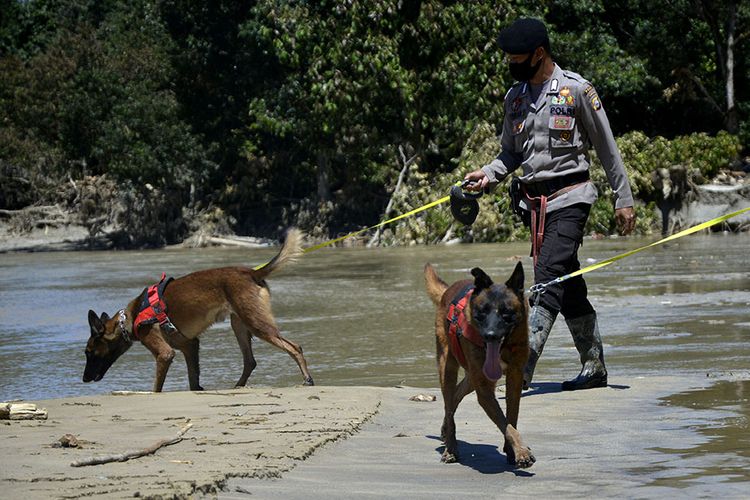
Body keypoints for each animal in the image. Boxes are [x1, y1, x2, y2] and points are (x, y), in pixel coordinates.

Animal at [83, 229, 312, 390]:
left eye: (89, 353)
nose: (84, 379)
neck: (128, 319)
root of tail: (251, 272)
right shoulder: (190, 346)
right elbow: (194, 382)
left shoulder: (164, 354)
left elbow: (157, 388)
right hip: (239, 324)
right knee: (250, 361)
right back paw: (237, 386)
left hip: (256, 324)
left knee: (294, 347)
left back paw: (307, 379)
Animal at [426, 262, 536, 468]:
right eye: (482, 313)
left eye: (506, 313)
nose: (490, 335)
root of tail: (449, 290)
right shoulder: (485, 390)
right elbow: (505, 424)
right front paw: (521, 452)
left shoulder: (514, 378)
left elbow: (511, 418)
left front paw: (513, 451)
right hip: (447, 368)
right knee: (449, 403)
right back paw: (450, 448)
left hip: (472, 378)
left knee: (454, 397)